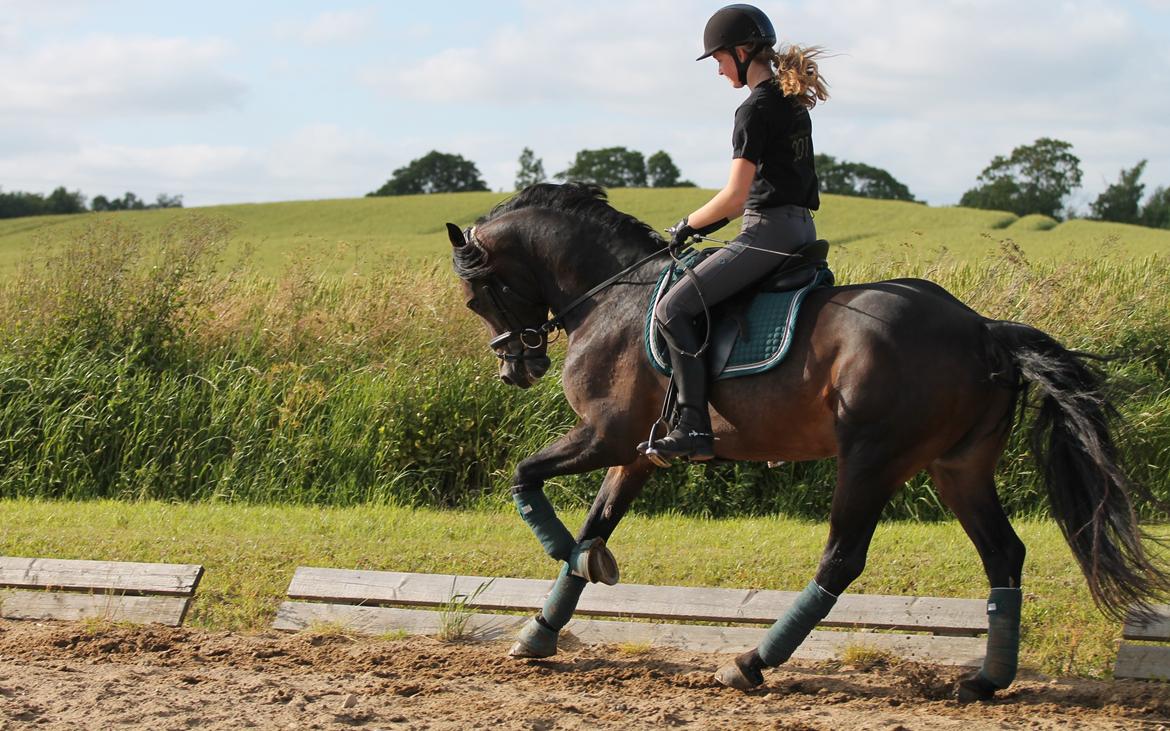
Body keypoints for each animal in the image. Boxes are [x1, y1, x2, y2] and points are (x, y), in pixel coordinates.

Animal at [444, 182, 1160, 701]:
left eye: (476, 294)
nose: (516, 369)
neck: (611, 297)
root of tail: (984, 327)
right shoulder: (637, 453)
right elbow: (598, 521)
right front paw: (540, 630)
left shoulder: (606, 435)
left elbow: (526, 477)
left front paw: (570, 558)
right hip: (957, 467)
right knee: (1004, 555)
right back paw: (986, 680)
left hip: (873, 459)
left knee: (841, 560)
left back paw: (751, 663)